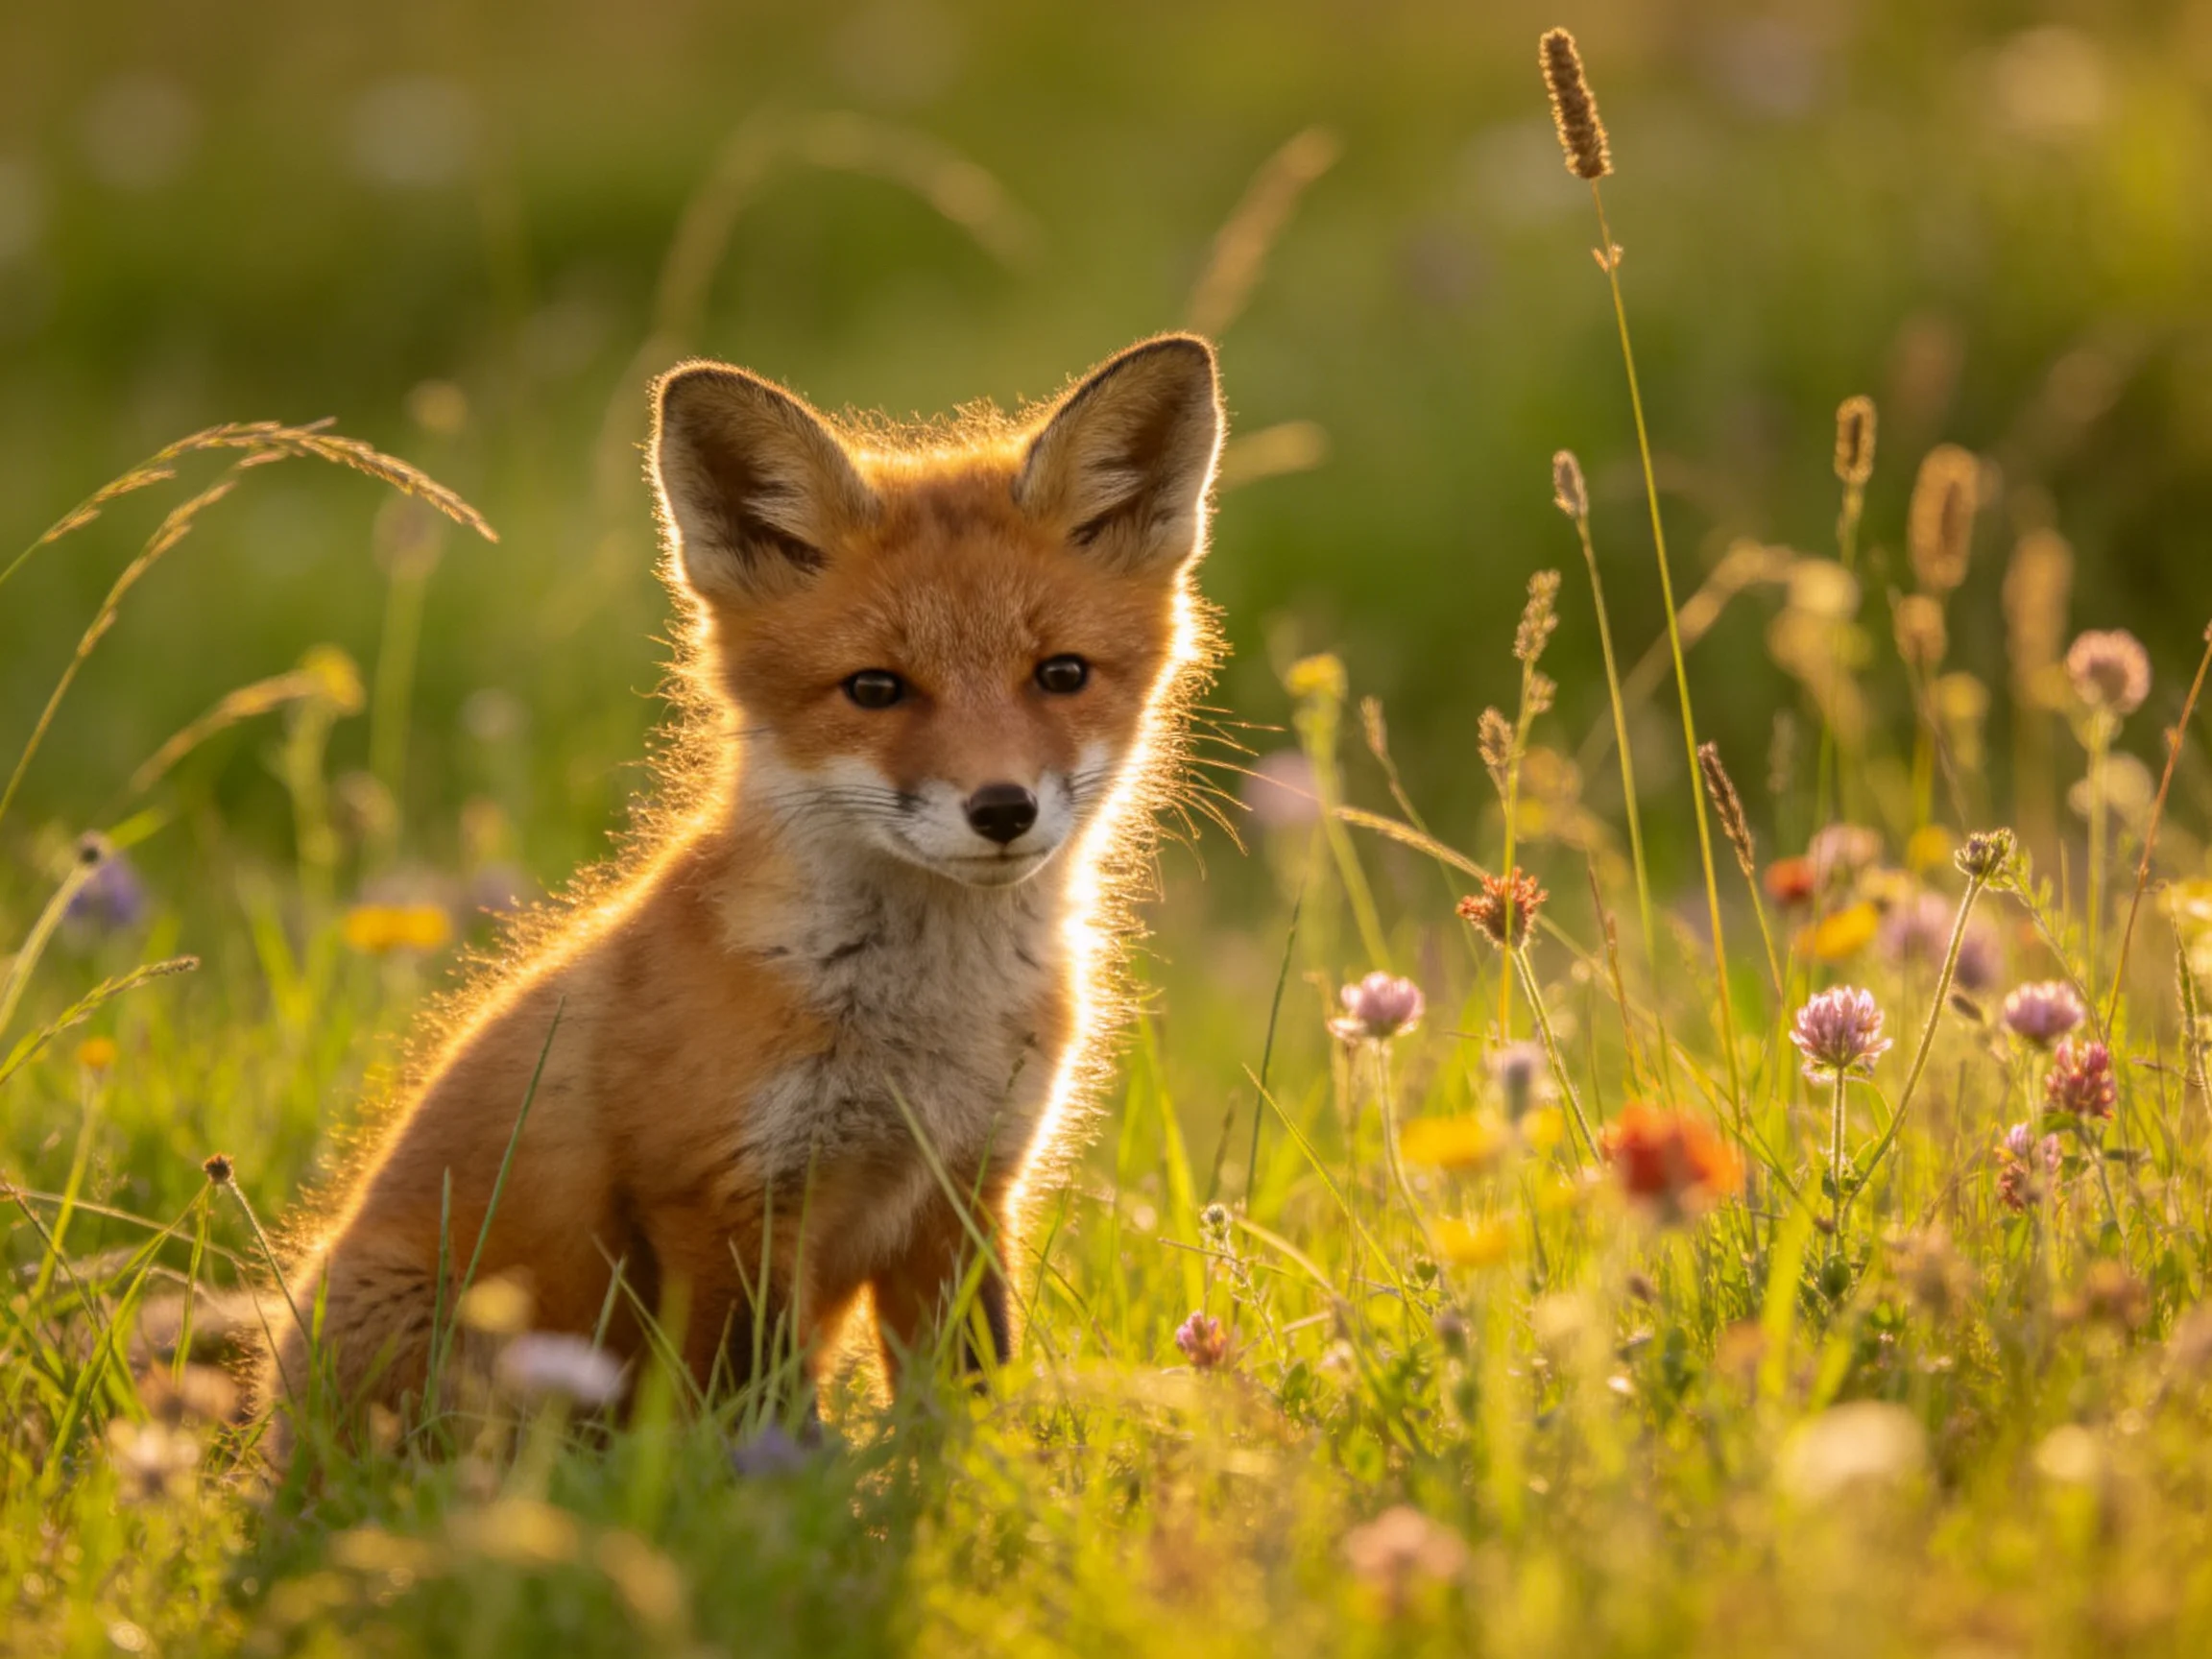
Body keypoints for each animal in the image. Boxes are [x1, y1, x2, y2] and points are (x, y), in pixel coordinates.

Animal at [259, 334, 1225, 1433]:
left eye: (1061, 674)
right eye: (875, 689)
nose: (1002, 808)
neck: (925, 1031)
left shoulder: (964, 1189)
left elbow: (962, 1404)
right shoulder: (721, 1200)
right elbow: (757, 1415)